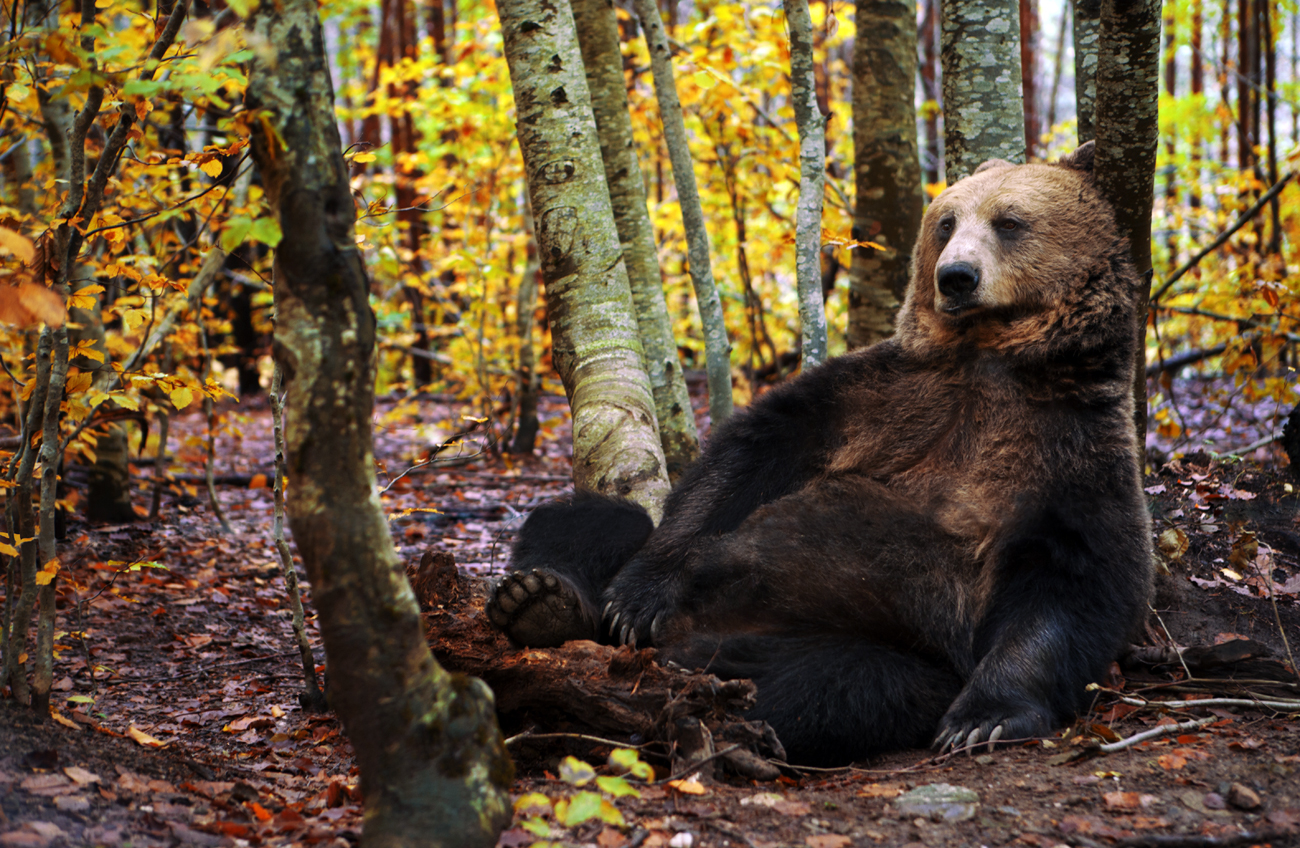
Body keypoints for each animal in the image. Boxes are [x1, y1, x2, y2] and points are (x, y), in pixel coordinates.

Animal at [486, 142, 1149, 764]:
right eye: (947, 221)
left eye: (1009, 221)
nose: (956, 276)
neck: (988, 358)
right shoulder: (885, 397)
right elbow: (747, 460)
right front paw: (634, 598)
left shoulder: (1068, 445)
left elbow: (1073, 578)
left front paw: (983, 718)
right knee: (593, 518)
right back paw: (543, 601)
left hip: (853, 641)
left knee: (838, 684)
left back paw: (710, 713)